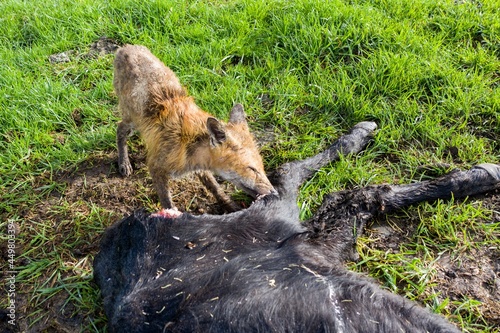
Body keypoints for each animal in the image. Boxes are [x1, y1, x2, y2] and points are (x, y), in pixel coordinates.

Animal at [114, 44, 278, 210]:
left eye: (262, 166)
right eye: (251, 169)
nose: (274, 192)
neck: (189, 143)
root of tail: (126, 47)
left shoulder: (201, 167)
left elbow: (216, 188)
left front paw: (232, 207)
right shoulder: (156, 166)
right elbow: (167, 202)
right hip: (132, 120)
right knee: (119, 128)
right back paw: (124, 162)